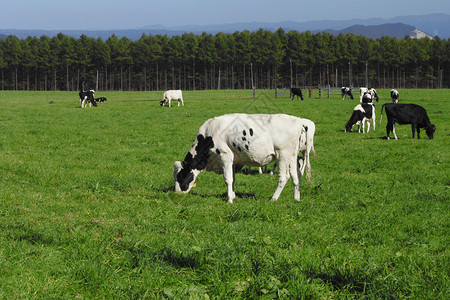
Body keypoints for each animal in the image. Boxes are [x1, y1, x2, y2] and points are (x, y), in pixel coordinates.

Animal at [172, 113, 316, 203]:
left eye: (181, 176)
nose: (177, 194)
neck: (209, 134)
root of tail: (300, 121)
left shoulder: (225, 155)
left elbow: (228, 179)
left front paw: (230, 199)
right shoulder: (233, 160)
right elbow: (233, 179)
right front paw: (233, 195)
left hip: (283, 155)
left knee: (284, 177)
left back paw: (273, 199)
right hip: (292, 156)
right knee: (296, 176)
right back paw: (296, 198)